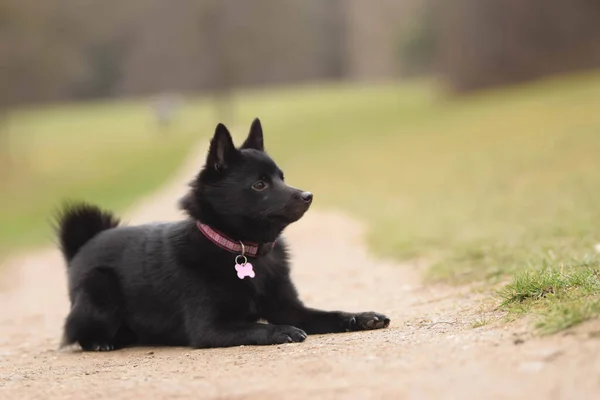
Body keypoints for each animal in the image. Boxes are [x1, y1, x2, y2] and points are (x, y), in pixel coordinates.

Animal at [57, 119, 390, 350]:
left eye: (282, 177)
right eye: (259, 184)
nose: (308, 196)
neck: (241, 249)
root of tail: (83, 246)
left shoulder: (290, 309)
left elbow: (329, 313)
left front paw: (362, 316)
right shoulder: (211, 328)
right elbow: (255, 328)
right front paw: (280, 331)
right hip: (100, 285)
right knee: (78, 334)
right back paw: (102, 342)